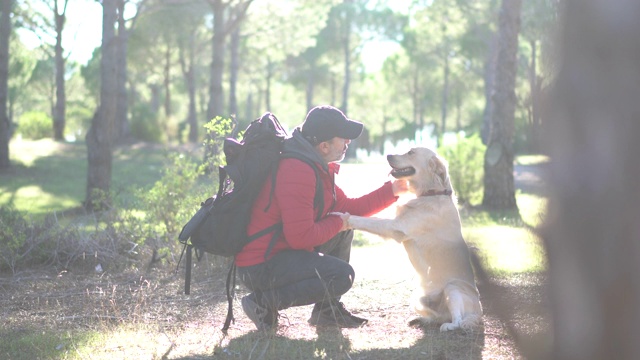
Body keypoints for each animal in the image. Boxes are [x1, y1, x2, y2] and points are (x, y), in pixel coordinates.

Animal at [350, 148, 480, 332]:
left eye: (411, 152)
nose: (388, 155)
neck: (431, 193)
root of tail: (479, 313)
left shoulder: (396, 226)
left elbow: (367, 221)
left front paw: (343, 218)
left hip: (452, 288)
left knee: (458, 321)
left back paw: (448, 326)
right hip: (417, 297)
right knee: (438, 317)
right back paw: (421, 319)